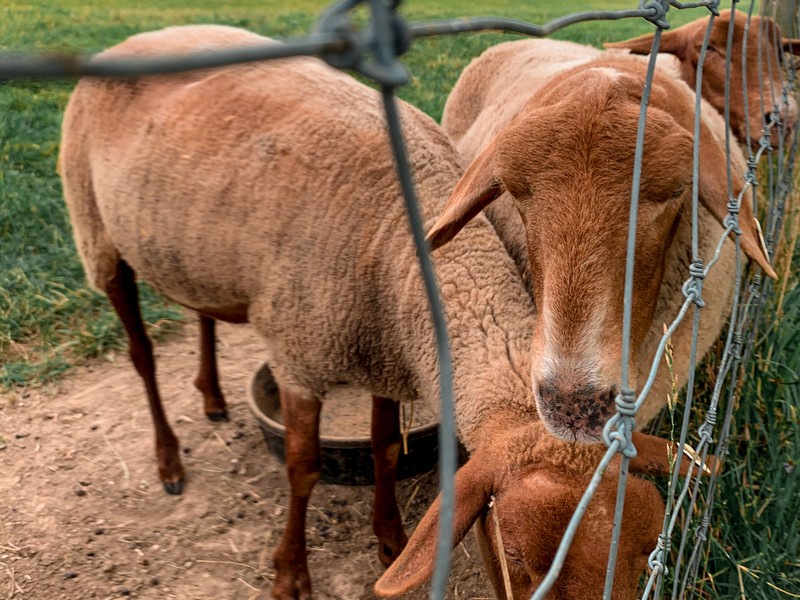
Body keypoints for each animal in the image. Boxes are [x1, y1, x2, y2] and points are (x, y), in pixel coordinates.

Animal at [59, 24, 552, 600]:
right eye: (515, 554)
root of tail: (138, 38)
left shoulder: (382, 350)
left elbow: (386, 448)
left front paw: (390, 540)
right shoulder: (300, 357)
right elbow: (303, 469)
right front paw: (290, 573)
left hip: (191, 248)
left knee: (201, 313)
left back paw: (212, 397)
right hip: (96, 231)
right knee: (141, 354)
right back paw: (170, 461)